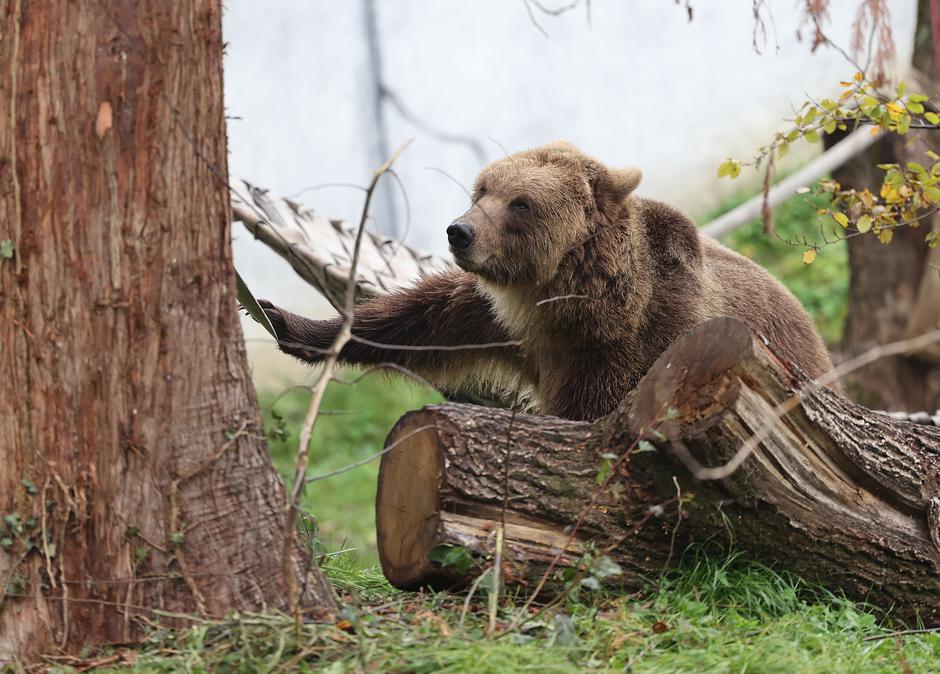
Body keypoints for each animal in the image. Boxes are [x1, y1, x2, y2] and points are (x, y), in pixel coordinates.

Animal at [258, 140, 836, 418]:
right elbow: (421, 319)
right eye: (482, 188)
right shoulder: (500, 317)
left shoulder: (639, 349)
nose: (459, 230)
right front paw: (288, 322)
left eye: (520, 202)